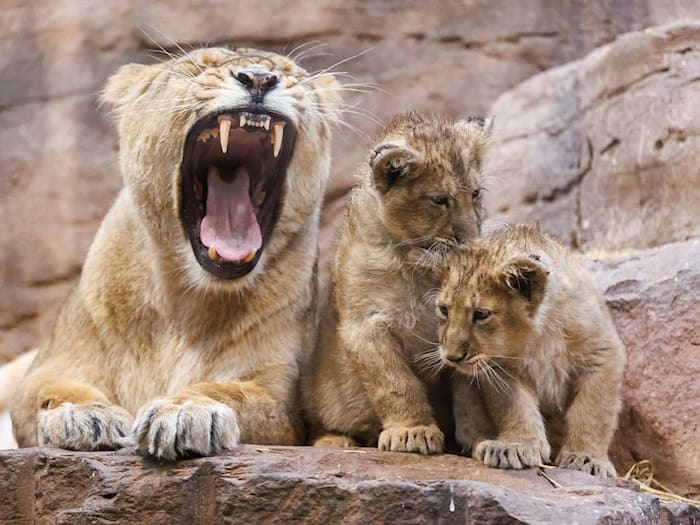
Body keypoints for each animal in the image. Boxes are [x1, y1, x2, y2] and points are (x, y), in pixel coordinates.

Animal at [10, 46, 340, 460]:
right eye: (201, 65)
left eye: (290, 72)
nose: (259, 78)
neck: (185, 302)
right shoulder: (48, 367)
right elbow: (51, 390)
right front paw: (85, 415)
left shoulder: (281, 398)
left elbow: (229, 393)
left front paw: (186, 412)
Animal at [301, 112, 491, 454]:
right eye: (440, 199)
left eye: (475, 193)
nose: (471, 243)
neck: (421, 265)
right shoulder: (366, 325)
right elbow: (395, 383)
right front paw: (413, 432)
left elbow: (470, 393)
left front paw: (481, 438)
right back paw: (335, 440)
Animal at [436, 224, 625, 476]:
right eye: (444, 309)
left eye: (481, 314)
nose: (452, 357)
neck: (539, 333)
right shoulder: (501, 366)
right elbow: (516, 407)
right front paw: (517, 446)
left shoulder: (602, 353)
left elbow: (593, 410)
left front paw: (587, 458)